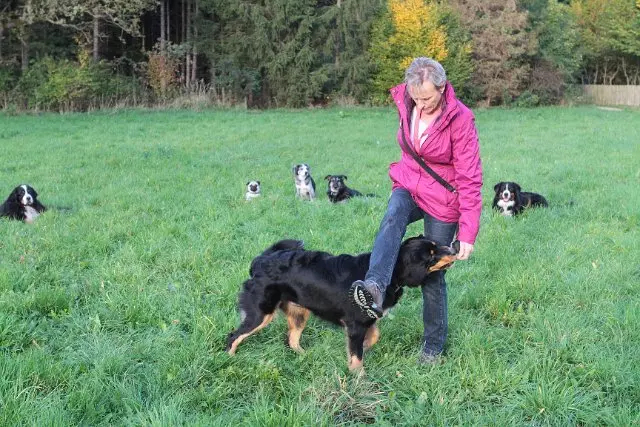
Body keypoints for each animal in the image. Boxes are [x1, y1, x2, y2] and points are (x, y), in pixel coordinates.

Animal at [228, 236, 458, 372]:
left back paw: (305, 356)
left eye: (436, 246)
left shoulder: (365, 320)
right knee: (233, 336)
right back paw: (229, 360)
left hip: (299, 312)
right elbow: (357, 357)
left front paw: (364, 348)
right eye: (431, 255)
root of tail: (260, 261)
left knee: (291, 339)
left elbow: (372, 338)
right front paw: (359, 380)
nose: (455, 248)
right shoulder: (355, 324)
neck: (387, 274)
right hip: (261, 313)